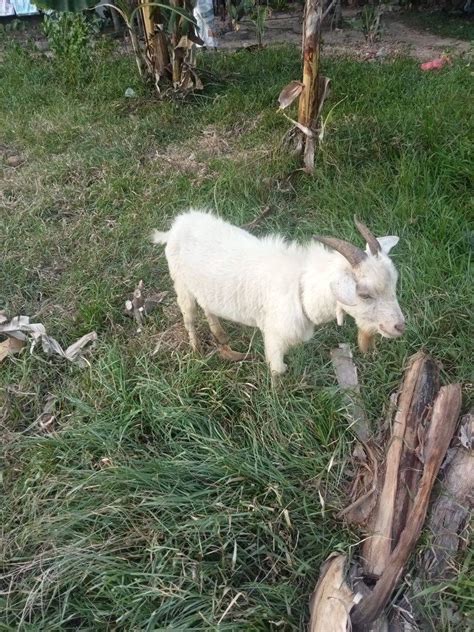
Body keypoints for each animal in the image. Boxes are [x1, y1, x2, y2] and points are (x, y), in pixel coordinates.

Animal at [152, 209, 405, 374]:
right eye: (365, 294)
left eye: (394, 284)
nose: (400, 326)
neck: (302, 287)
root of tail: (175, 227)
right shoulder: (274, 335)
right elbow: (278, 371)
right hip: (181, 284)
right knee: (189, 316)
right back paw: (196, 351)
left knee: (208, 307)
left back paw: (221, 336)